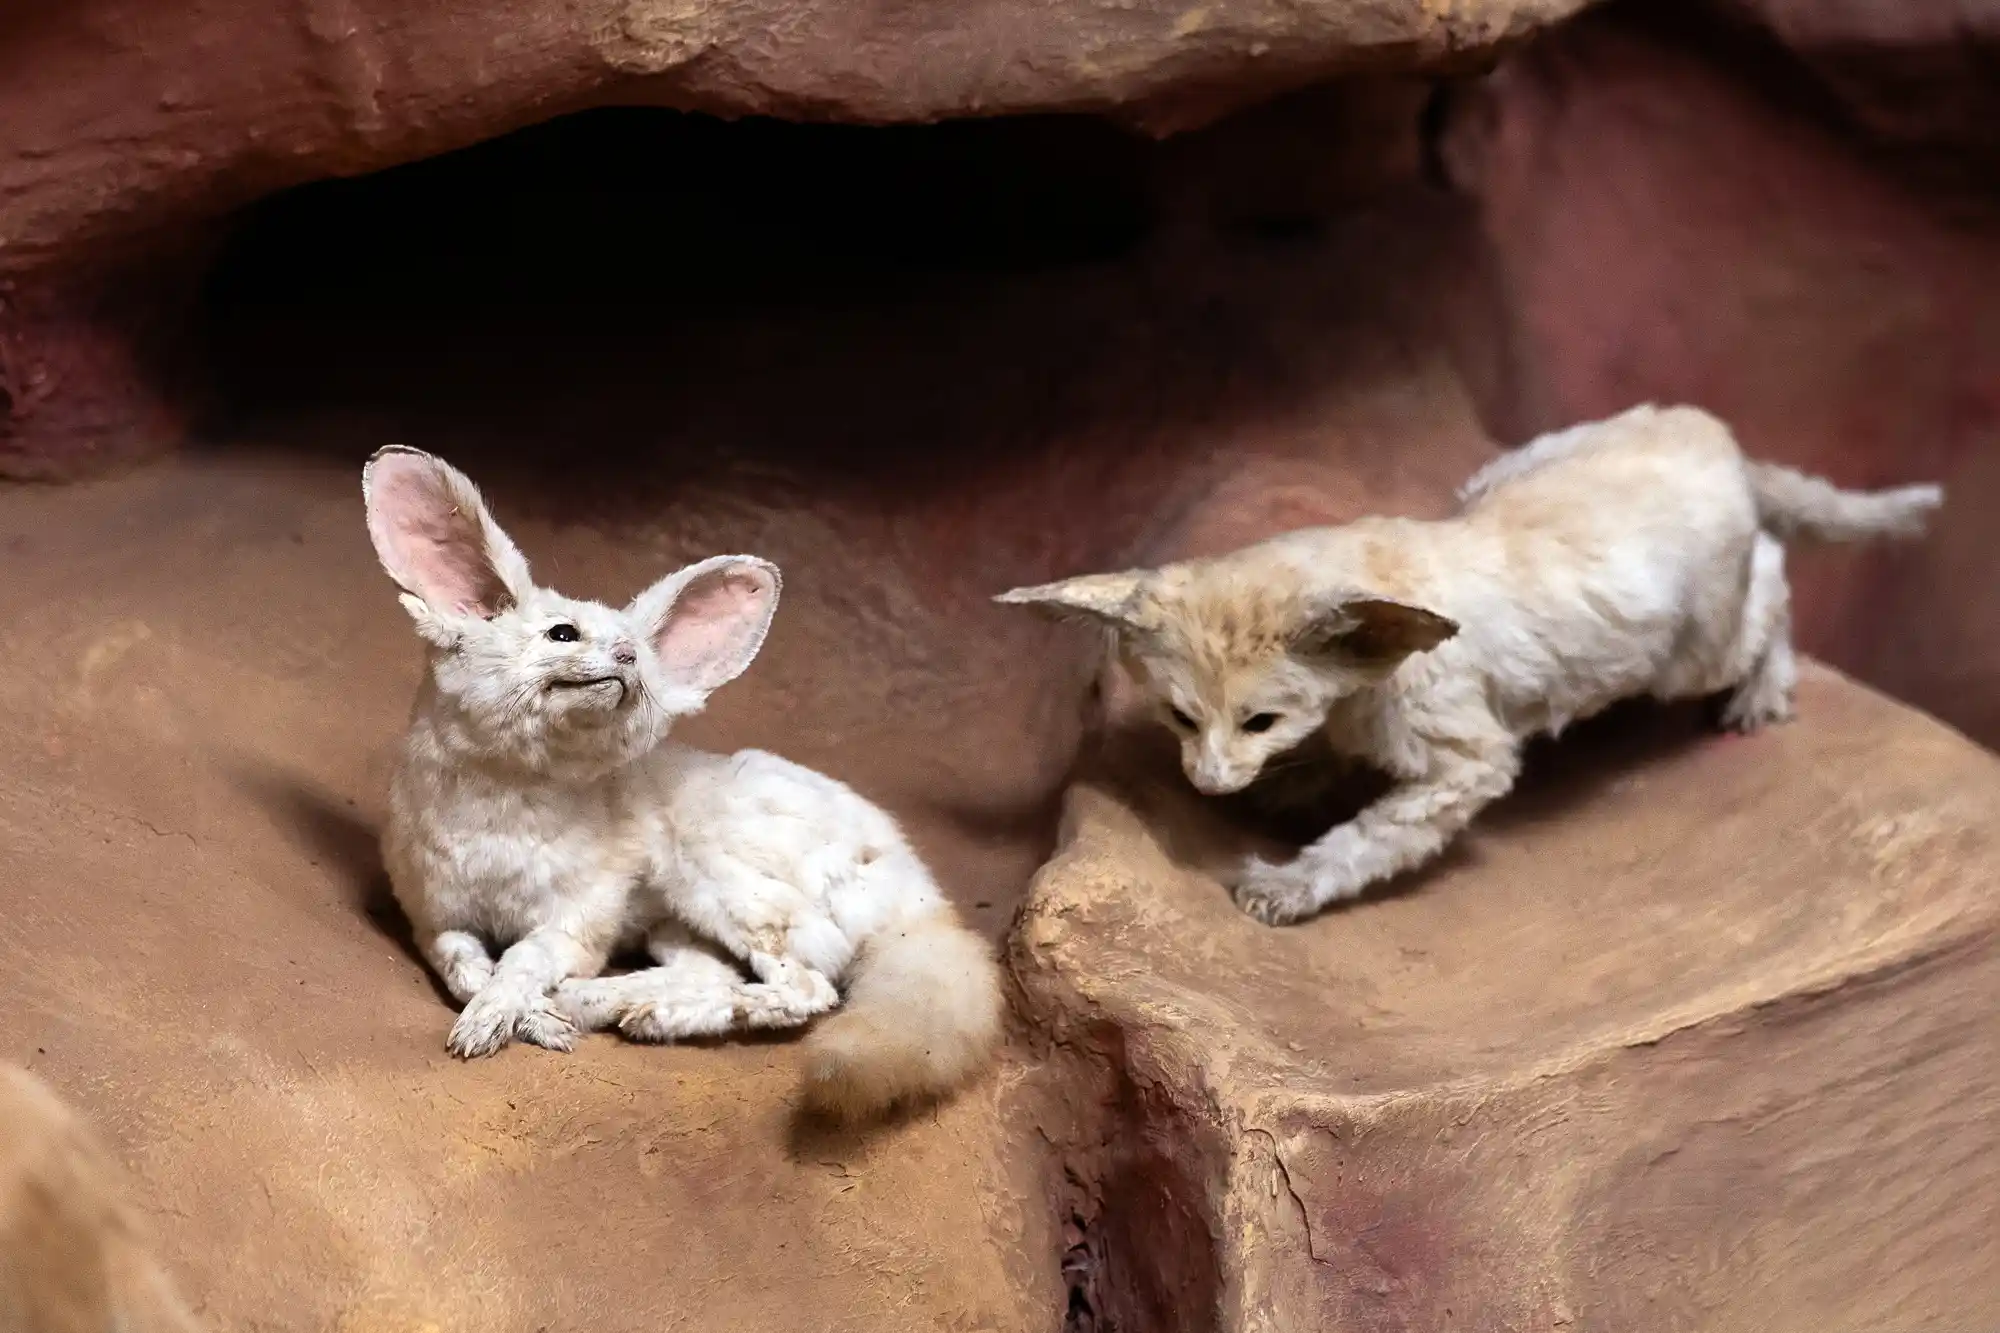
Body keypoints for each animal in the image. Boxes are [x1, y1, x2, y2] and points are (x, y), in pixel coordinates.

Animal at [998, 404, 1943, 925]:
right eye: (1180, 717)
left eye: (1259, 719)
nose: (1207, 782)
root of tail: (1718, 438)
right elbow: (1334, 757)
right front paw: (1299, 783)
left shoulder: (1467, 763)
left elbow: (1368, 836)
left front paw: (1294, 882)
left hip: (1691, 650)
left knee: (1774, 579)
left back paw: (1767, 687)